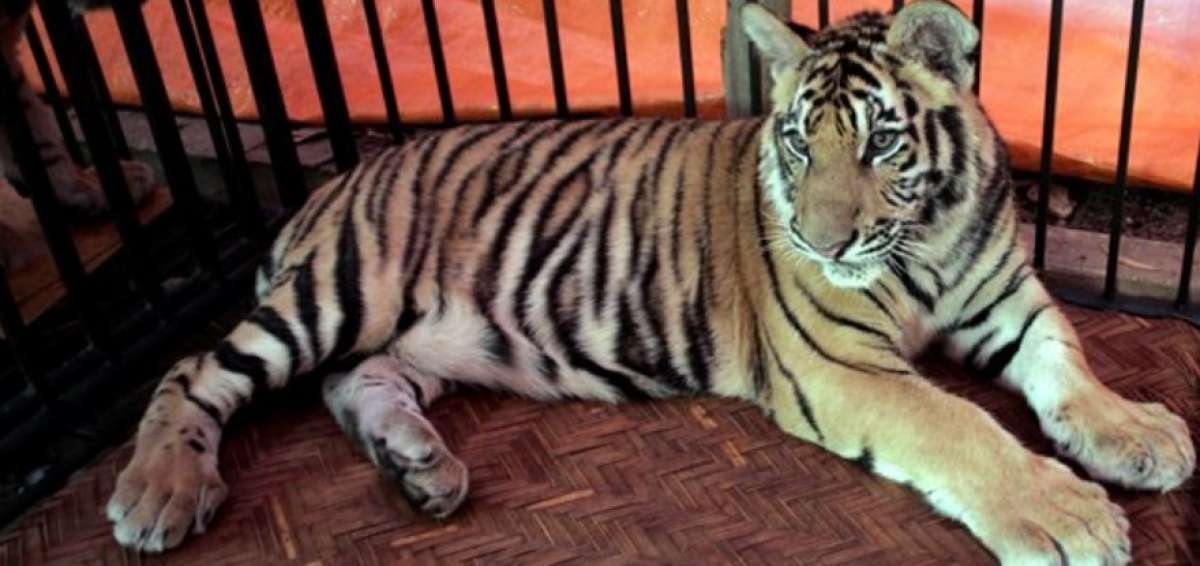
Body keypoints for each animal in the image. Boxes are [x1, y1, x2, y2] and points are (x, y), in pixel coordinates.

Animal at [105, 2, 1193, 563]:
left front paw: (1139, 435)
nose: (822, 241)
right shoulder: (844, 364)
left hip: (423, 336)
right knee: (191, 371)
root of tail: (333, 180)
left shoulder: (1005, 295)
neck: (923, 236)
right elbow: (962, 426)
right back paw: (158, 492)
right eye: (800, 142)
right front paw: (1068, 517)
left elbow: (1066, 359)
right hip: (341, 287)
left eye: (882, 140)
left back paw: (420, 467)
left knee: (354, 382)